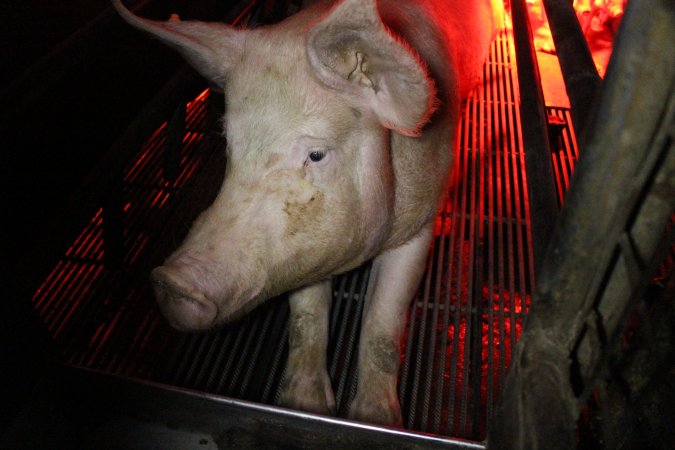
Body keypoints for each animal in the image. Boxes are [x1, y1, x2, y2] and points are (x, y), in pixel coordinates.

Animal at [112, 0, 502, 428]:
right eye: (229, 144)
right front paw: (305, 406)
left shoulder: (421, 222)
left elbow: (383, 321)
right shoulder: (306, 247)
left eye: (315, 155)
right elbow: (307, 312)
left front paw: (378, 420)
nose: (171, 281)